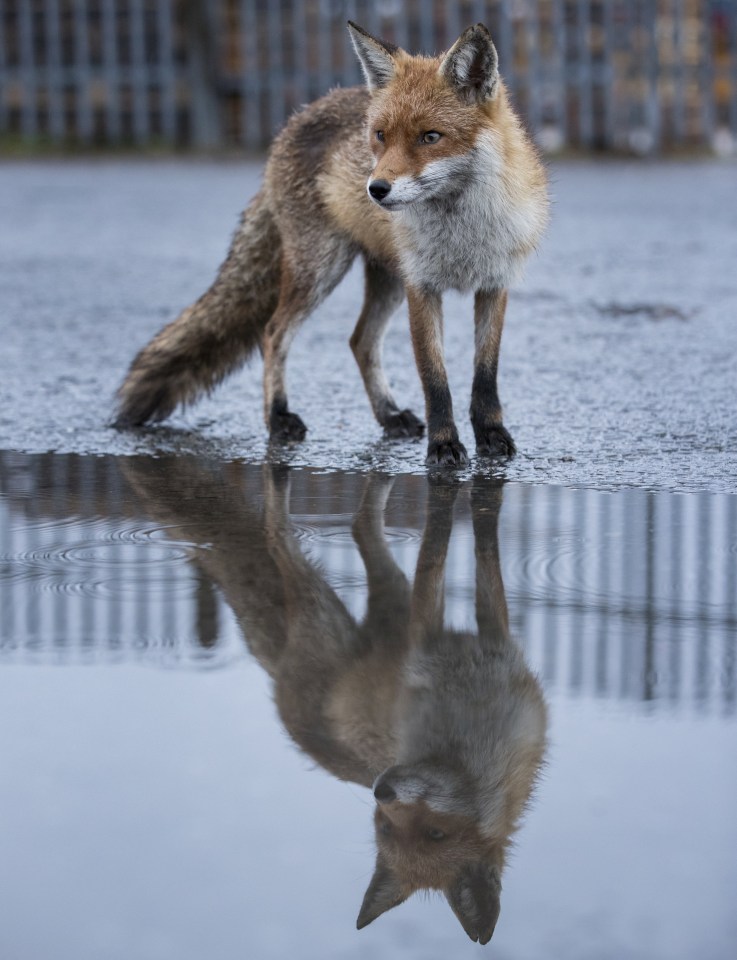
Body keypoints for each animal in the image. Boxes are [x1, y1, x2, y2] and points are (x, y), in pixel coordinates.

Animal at [115, 18, 548, 462]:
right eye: (380, 136)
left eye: (430, 137)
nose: (376, 189)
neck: (462, 232)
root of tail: (294, 120)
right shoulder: (421, 286)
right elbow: (435, 378)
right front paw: (444, 445)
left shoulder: (494, 284)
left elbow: (485, 374)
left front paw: (491, 434)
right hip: (320, 269)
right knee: (273, 333)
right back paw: (279, 417)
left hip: (384, 279)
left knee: (360, 341)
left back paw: (388, 415)